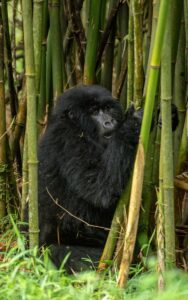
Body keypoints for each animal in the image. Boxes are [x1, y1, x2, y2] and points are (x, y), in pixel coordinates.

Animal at [36, 84, 178, 270]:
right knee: (64, 254)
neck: (79, 126)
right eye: (94, 111)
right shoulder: (68, 139)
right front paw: (134, 122)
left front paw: (166, 114)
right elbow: (101, 188)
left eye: (108, 108)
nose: (109, 121)